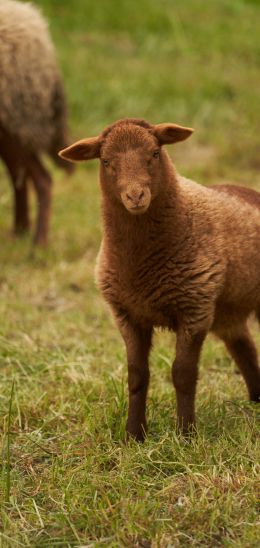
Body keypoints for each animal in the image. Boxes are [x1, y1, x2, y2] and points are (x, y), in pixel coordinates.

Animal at [59, 116, 260, 440]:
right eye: (106, 161)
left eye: (155, 152)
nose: (135, 196)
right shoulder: (127, 315)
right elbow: (137, 375)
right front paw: (133, 435)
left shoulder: (195, 309)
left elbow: (183, 374)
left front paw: (186, 435)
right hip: (227, 311)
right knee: (244, 348)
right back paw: (256, 401)